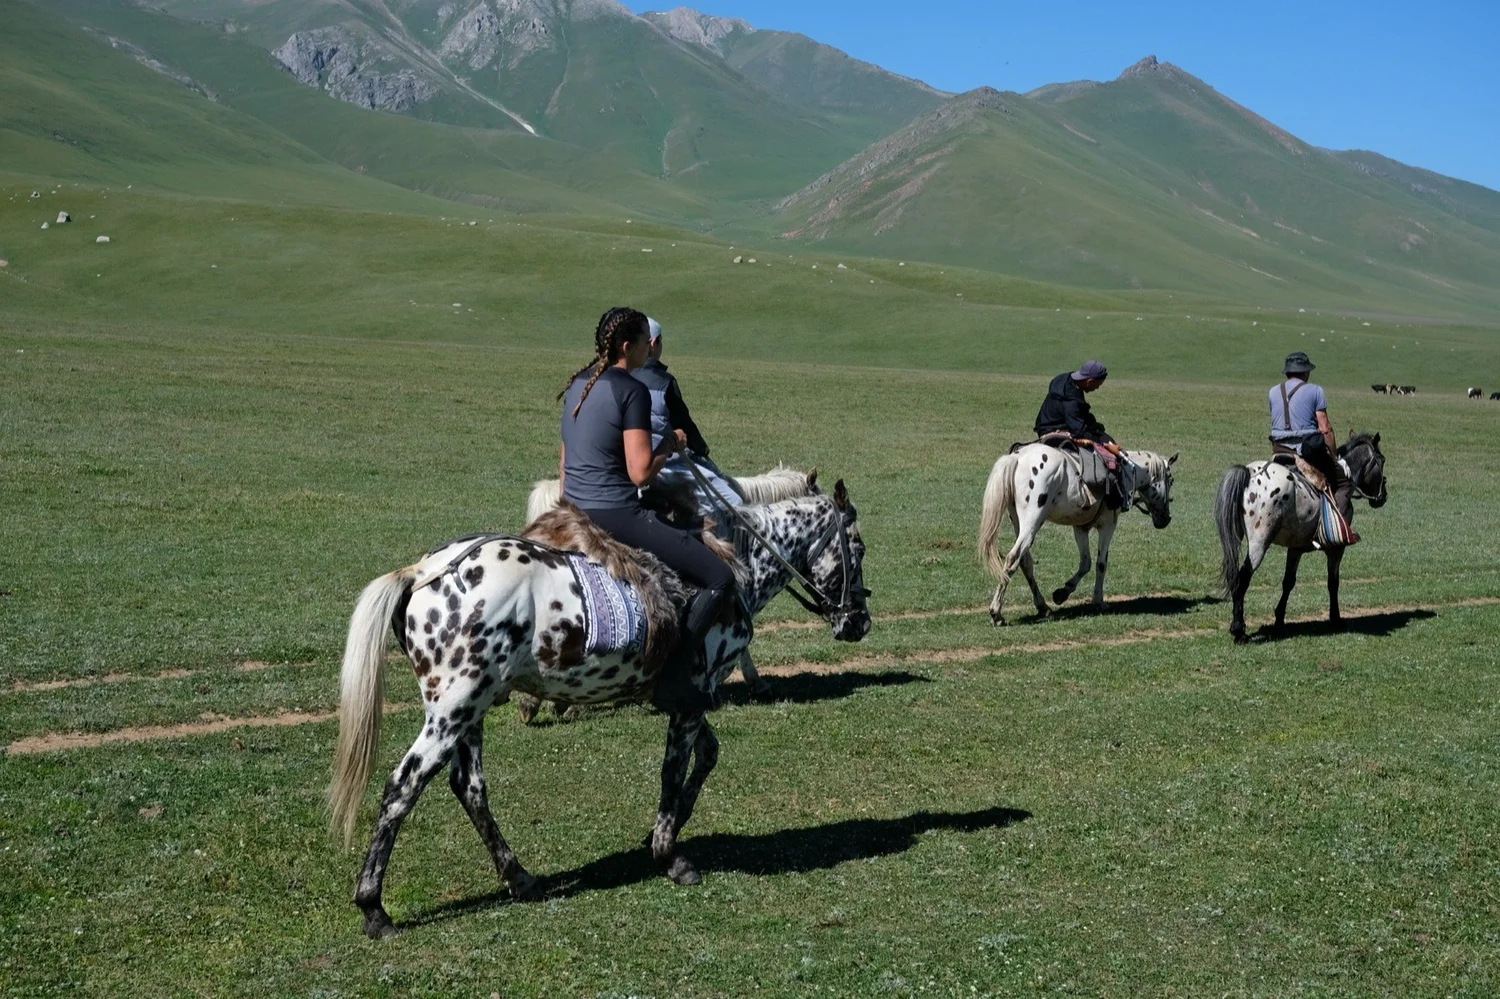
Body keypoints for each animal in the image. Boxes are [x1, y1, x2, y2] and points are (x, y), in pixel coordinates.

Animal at [979, 445, 1178, 625]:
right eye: (1171, 480)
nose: (1166, 519)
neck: (1127, 471)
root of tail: (1017, 458)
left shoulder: (1080, 528)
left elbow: (1086, 562)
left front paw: (1062, 593)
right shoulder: (1108, 525)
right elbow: (1101, 564)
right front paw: (1098, 601)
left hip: (1018, 522)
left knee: (1025, 562)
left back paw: (1043, 607)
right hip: (1032, 522)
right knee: (1013, 558)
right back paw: (996, 613)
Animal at [1214, 431, 1387, 643]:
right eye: (1382, 460)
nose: (1383, 497)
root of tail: (1248, 473)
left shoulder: (1295, 549)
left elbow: (1288, 582)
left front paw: (1279, 621)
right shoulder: (1337, 550)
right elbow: (1333, 582)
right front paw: (1336, 619)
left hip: (1236, 537)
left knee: (1234, 576)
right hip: (1259, 542)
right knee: (1243, 578)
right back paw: (1239, 630)